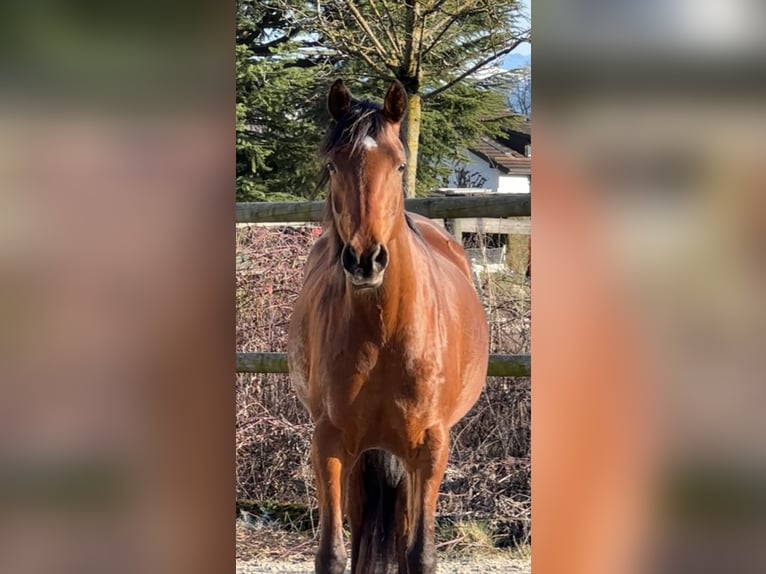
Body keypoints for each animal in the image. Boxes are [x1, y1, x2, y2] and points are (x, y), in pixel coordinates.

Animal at [287, 79, 489, 574]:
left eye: (398, 164)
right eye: (333, 165)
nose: (366, 259)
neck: (383, 332)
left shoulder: (431, 447)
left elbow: (419, 554)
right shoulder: (330, 443)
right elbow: (332, 555)